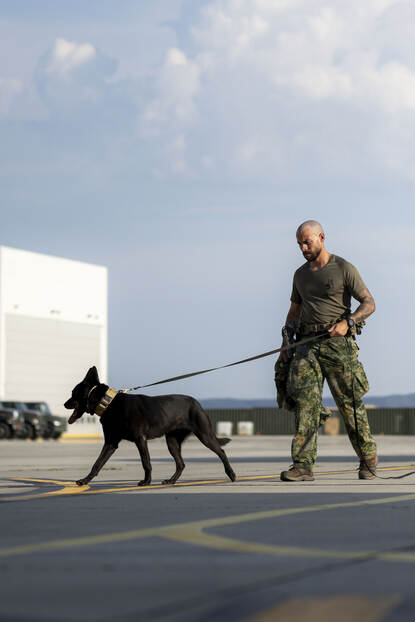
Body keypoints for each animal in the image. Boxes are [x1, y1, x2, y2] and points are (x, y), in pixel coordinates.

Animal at [63, 368, 236, 490]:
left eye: (73, 393)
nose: (65, 404)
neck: (109, 403)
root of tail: (197, 403)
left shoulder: (140, 440)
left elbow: (146, 462)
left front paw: (146, 481)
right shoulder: (111, 443)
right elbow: (97, 463)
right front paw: (85, 480)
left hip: (204, 434)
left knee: (221, 451)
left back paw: (231, 474)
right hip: (172, 441)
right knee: (181, 464)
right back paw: (171, 480)